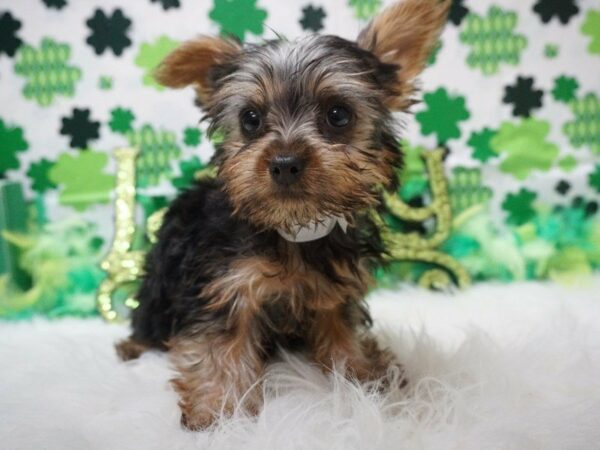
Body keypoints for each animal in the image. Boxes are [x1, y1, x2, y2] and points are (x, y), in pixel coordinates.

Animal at [116, 0, 450, 428]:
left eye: (338, 115)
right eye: (251, 119)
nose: (285, 163)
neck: (293, 228)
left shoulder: (334, 286)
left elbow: (340, 328)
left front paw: (363, 374)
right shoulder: (225, 285)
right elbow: (221, 344)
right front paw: (219, 408)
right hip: (158, 285)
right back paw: (134, 348)